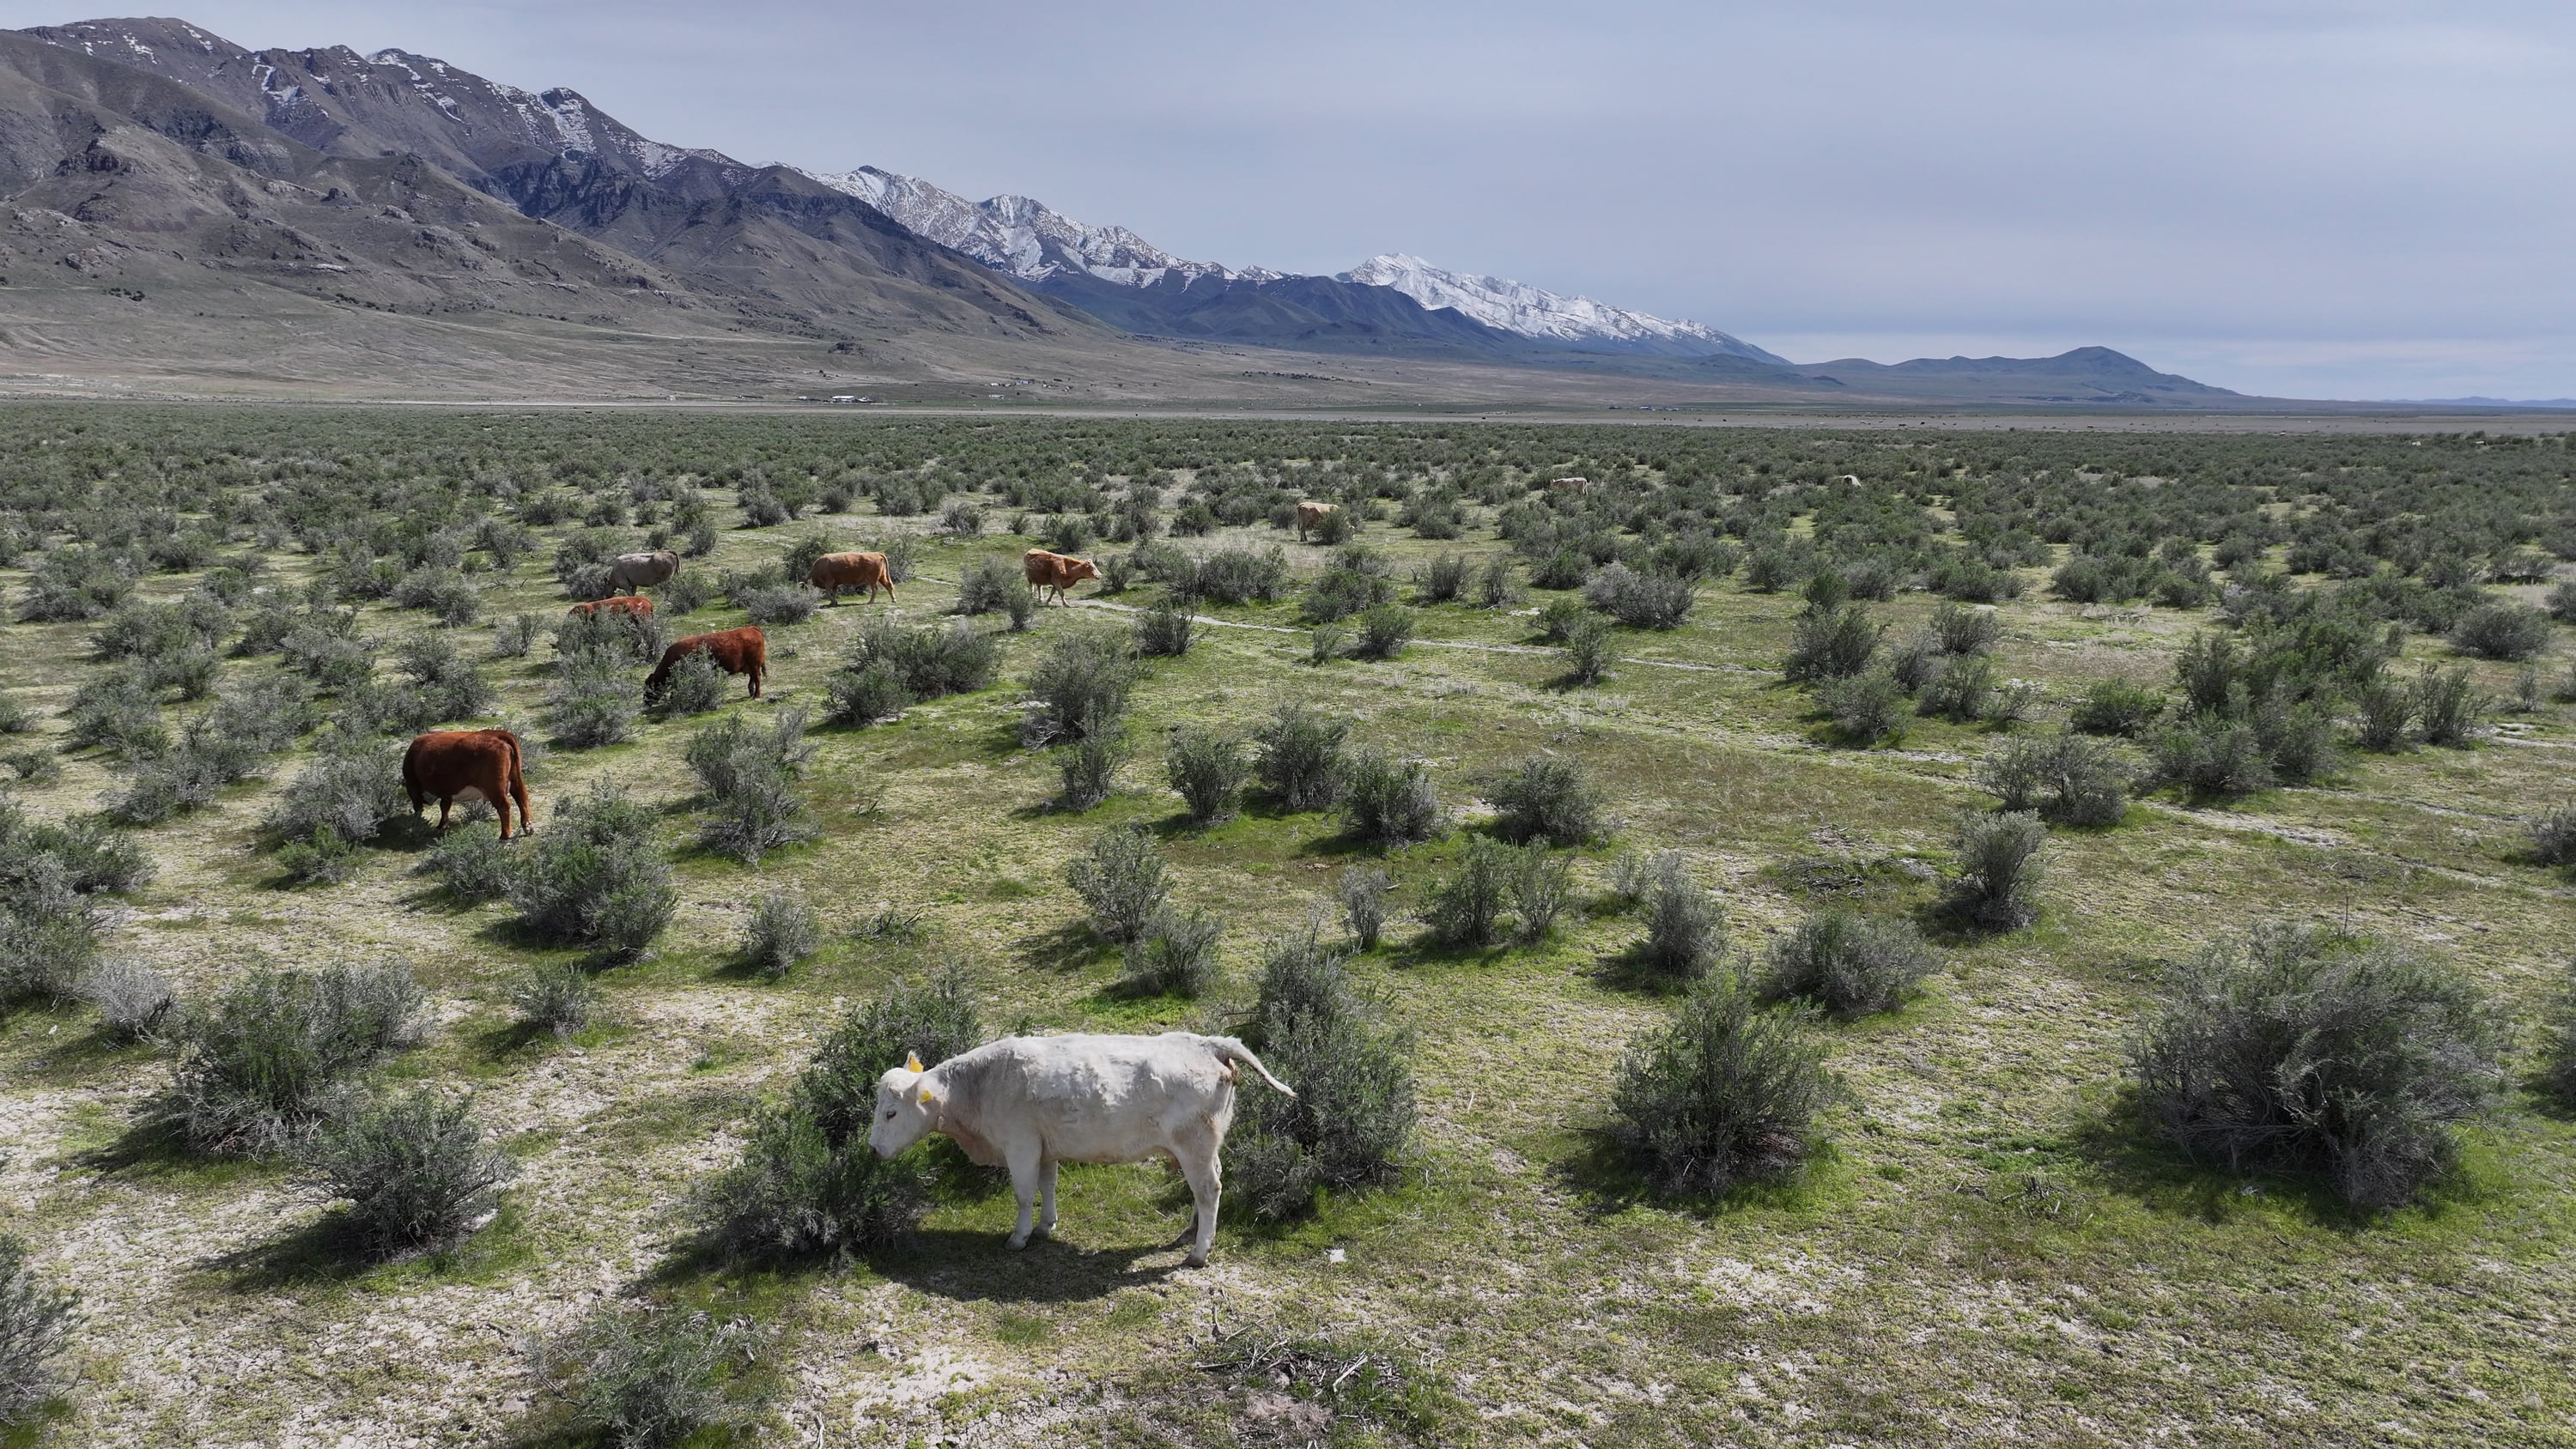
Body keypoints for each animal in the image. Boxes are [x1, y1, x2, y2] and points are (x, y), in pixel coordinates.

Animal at [401, 729, 531, 840]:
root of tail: (495, 734)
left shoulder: (412, 784)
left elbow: (418, 808)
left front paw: (418, 823)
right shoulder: (447, 792)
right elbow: (444, 807)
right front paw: (442, 826)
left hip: (494, 787)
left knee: (504, 805)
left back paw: (505, 836)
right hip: (515, 779)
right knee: (522, 797)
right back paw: (527, 827)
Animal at [646, 626, 766, 700]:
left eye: (649, 687)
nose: (646, 702)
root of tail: (751, 628)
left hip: (754, 665)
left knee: (757, 678)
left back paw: (756, 695)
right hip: (751, 666)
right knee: (753, 679)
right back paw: (751, 692)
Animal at [868, 1032, 1295, 1267]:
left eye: (891, 1112)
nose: (872, 1150)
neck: (982, 1085)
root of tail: (1210, 1044)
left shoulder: (1020, 1145)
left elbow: (1023, 1195)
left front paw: (1019, 1237)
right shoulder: (1045, 1148)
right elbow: (1048, 1186)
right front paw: (1046, 1225)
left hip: (1194, 1145)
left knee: (1209, 1191)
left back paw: (1198, 1252)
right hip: (1204, 1148)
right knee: (1209, 1184)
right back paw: (1190, 1231)